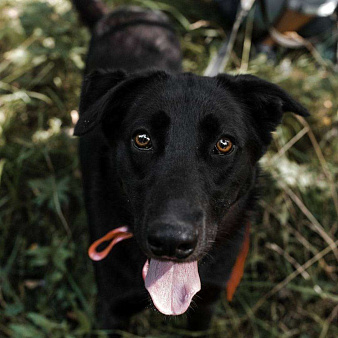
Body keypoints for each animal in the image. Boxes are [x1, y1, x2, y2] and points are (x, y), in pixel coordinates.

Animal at [72, 0, 308, 332]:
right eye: (142, 139)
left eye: (224, 144)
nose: (171, 242)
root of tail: (127, 11)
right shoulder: (112, 309)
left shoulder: (207, 303)